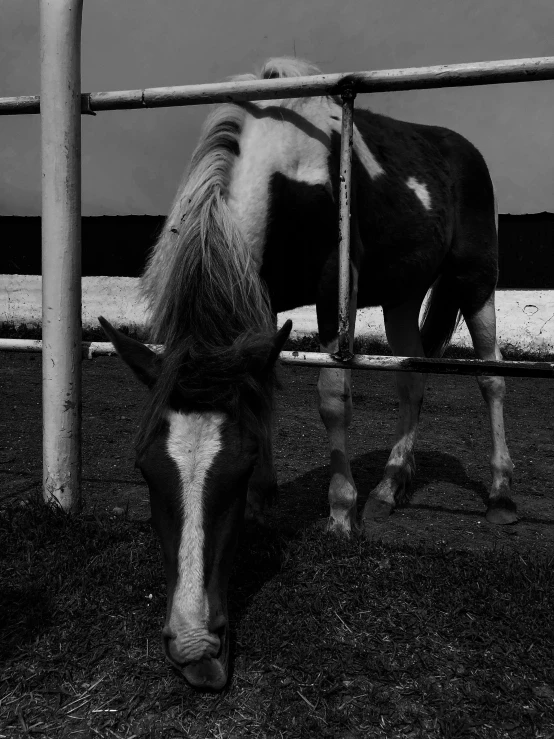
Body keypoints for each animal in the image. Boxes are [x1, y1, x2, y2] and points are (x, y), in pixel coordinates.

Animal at [98, 56, 512, 688]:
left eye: (236, 467)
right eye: (144, 468)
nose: (196, 651)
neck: (285, 169)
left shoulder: (334, 283)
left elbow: (332, 394)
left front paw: (340, 513)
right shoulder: (260, 293)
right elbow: (266, 390)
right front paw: (268, 500)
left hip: (475, 279)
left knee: (491, 378)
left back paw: (500, 493)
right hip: (401, 293)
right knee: (411, 379)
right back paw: (389, 486)